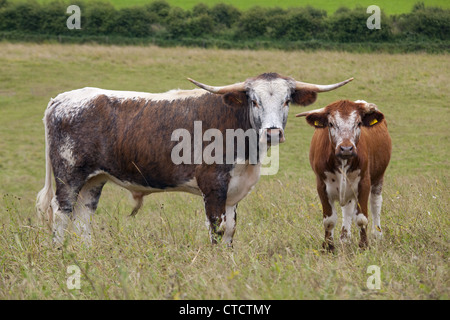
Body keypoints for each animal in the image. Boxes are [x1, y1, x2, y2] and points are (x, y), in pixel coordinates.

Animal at [37, 72, 352, 246]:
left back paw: (86, 255)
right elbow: (217, 227)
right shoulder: (213, 185)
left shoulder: (233, 192)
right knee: (61, 212)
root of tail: (62, 98)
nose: (273, 132)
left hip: (95, 179)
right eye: (254, 101)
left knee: (83, 216)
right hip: (68, 174)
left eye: (287, 100)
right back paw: (59, 253)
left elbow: (230, 229)